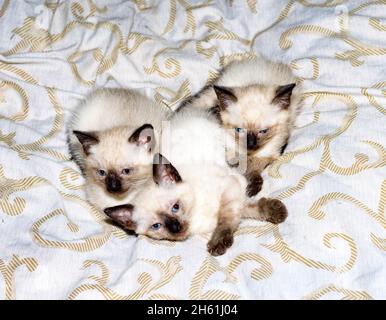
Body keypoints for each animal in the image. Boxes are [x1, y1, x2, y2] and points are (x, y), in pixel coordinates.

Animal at [102, 109, 286, 256]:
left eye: (175, 207)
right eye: (156, 226)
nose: (175, 227)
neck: (196, 216)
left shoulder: (230, 186)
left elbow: (227, 218)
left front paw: (218, 243)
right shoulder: (236, 195)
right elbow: (246, 210)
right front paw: (276, 211)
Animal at [179, 57, 304, 196]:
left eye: (263, 131)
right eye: (239, 130)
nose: (250, 144)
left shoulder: (269, 153)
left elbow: (254, 168)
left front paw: (251, 188)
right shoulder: (229, 151)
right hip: (211, 94)